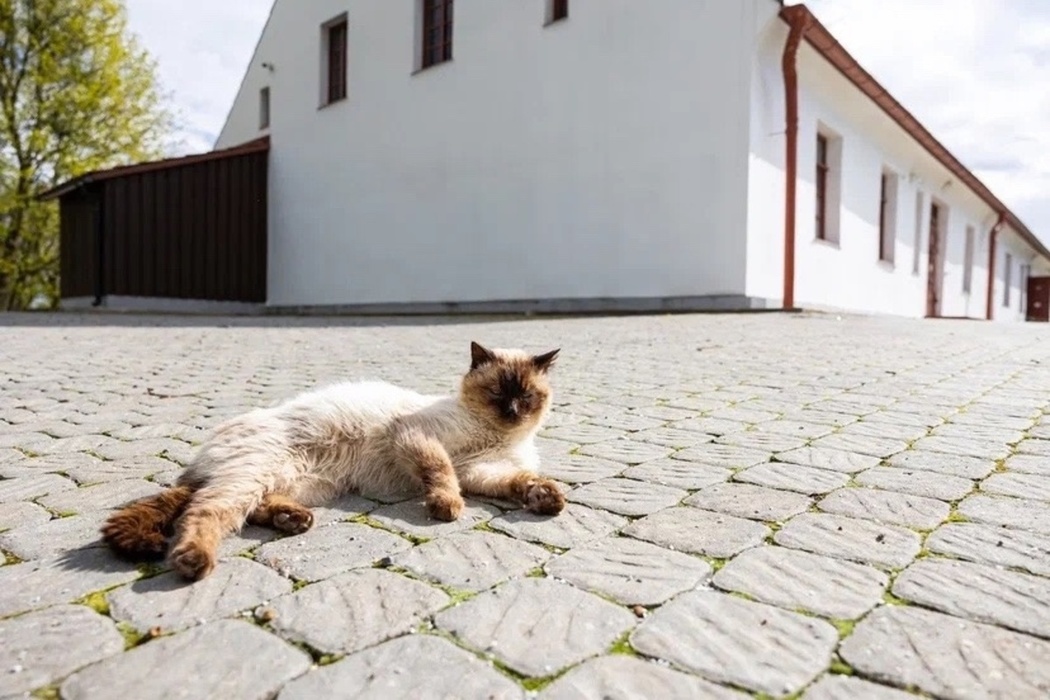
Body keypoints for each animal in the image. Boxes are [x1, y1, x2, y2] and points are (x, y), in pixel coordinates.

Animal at [100, 344, 567, 579]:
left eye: (526, 396)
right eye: (497, 392)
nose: (512, 411)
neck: (497, 436)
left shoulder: (482, 470)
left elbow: (520, 480)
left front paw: (546, 497)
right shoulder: (421, 439)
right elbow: (441, 473)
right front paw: (447, 507)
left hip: (305, 482)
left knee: (256, 506)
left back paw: (293, 520)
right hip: (254, 475)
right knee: (206, 511)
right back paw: (195, 560)